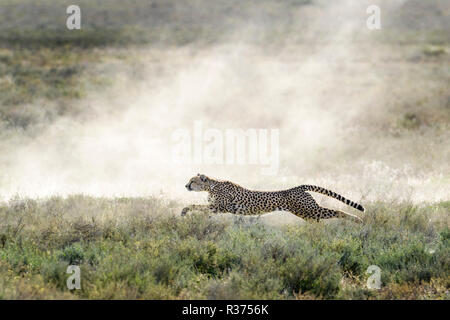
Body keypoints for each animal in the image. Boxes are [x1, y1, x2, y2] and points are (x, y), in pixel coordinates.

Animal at [183, 174, 366, 224]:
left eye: (192, 181)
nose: (186, 186)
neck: (212, 185)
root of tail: (297, 187)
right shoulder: (216, 208)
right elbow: (203, 211)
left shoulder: (221, 207)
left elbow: (194, 205)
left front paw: (184, 211)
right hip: (306, 214)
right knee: (319, 221)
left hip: (309, 210)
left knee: (337, 211)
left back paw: (357, 220)